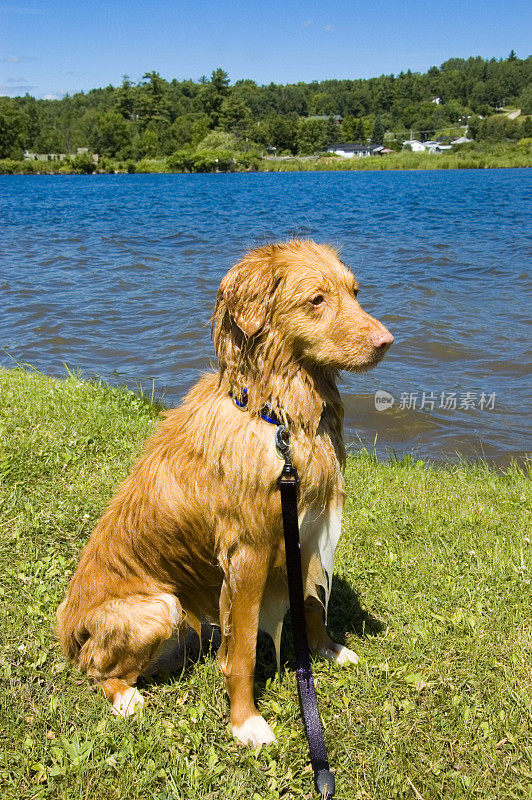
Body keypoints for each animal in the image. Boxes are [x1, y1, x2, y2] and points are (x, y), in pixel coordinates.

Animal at [58, 241, 392, 748]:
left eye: (354, 292)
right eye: (316, 300)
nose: (387, 340)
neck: (278, 414)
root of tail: (67, 627)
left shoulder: (305, 527)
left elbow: (311, 604)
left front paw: (326, 651)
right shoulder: (248, 551)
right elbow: (244, 652)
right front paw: (245, 721)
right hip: (157, 607)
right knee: (99, 672)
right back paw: (127, 698)